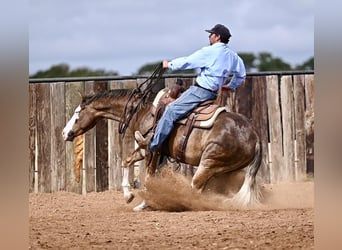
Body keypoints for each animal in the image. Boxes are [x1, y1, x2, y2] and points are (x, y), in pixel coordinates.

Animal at [62, 85, 262, 210]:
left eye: (77, 113)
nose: (65, 133)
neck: (142, 112)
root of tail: (255, 136)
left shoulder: (153, 150)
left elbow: (149, 178)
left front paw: (145, 201)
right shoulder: (145, 150)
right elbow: (127, 161)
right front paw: (128, 196)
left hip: (209, 162)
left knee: (195, 187)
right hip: (223, 169)